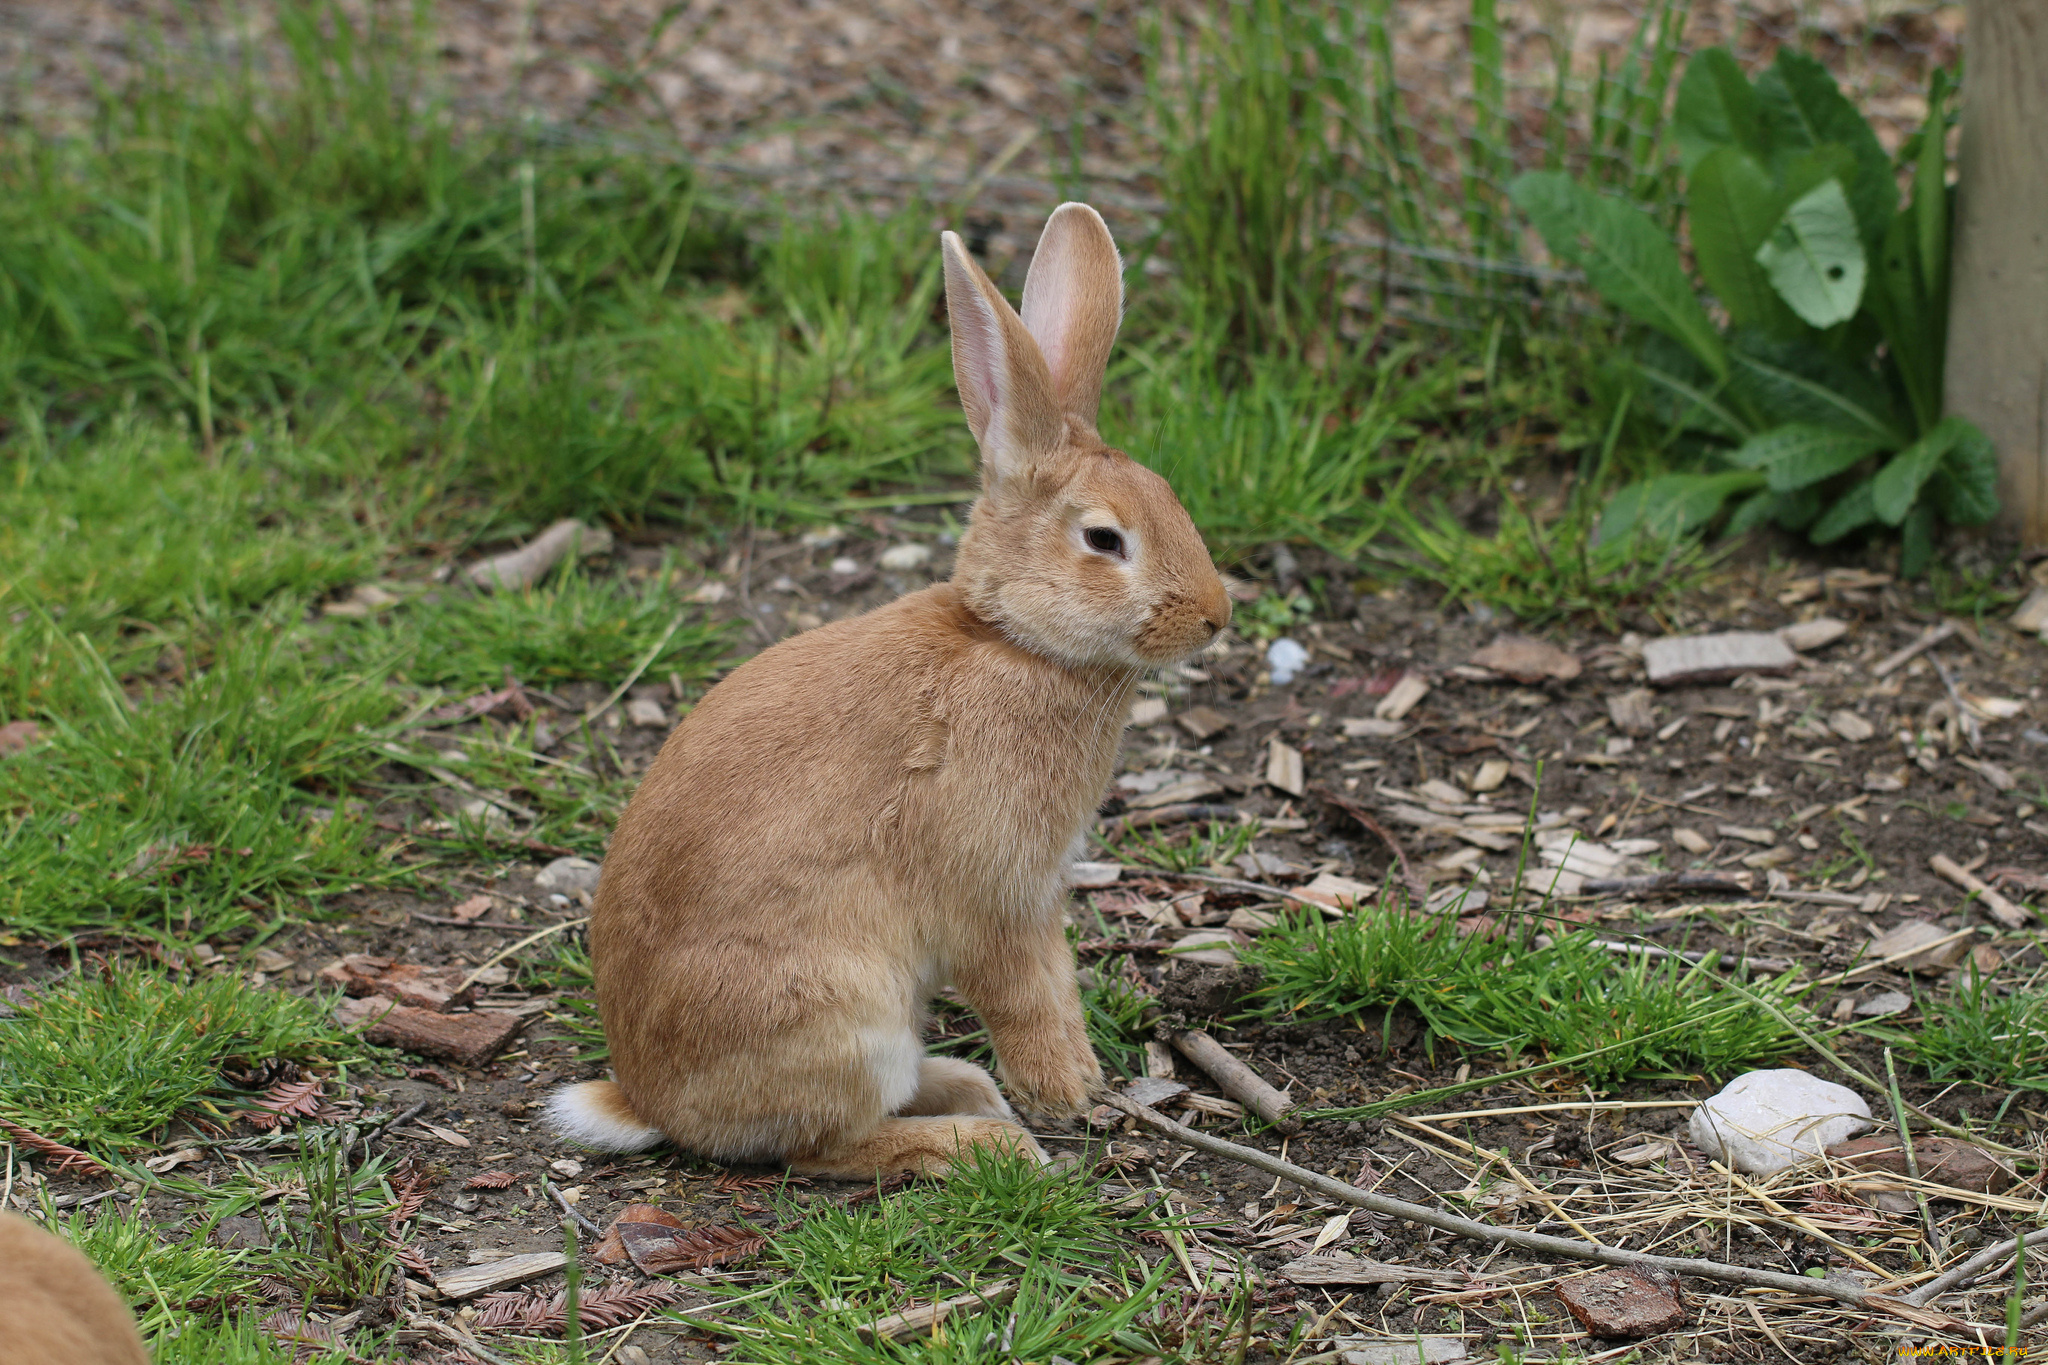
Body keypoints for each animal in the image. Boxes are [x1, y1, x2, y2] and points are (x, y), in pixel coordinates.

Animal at [544, 202, 1228, 1178]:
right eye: (1104, 539)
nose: (1217, 614)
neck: (1012, 643)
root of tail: (650, 1099)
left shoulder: (1038, 897)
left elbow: (1056, 987)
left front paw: (1084, 1087)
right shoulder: (997, 898)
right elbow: (1025, 998)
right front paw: (1069, 1095)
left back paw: (965, 1089)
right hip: (845, 1014)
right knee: (827, 1146)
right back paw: (982, 1138)